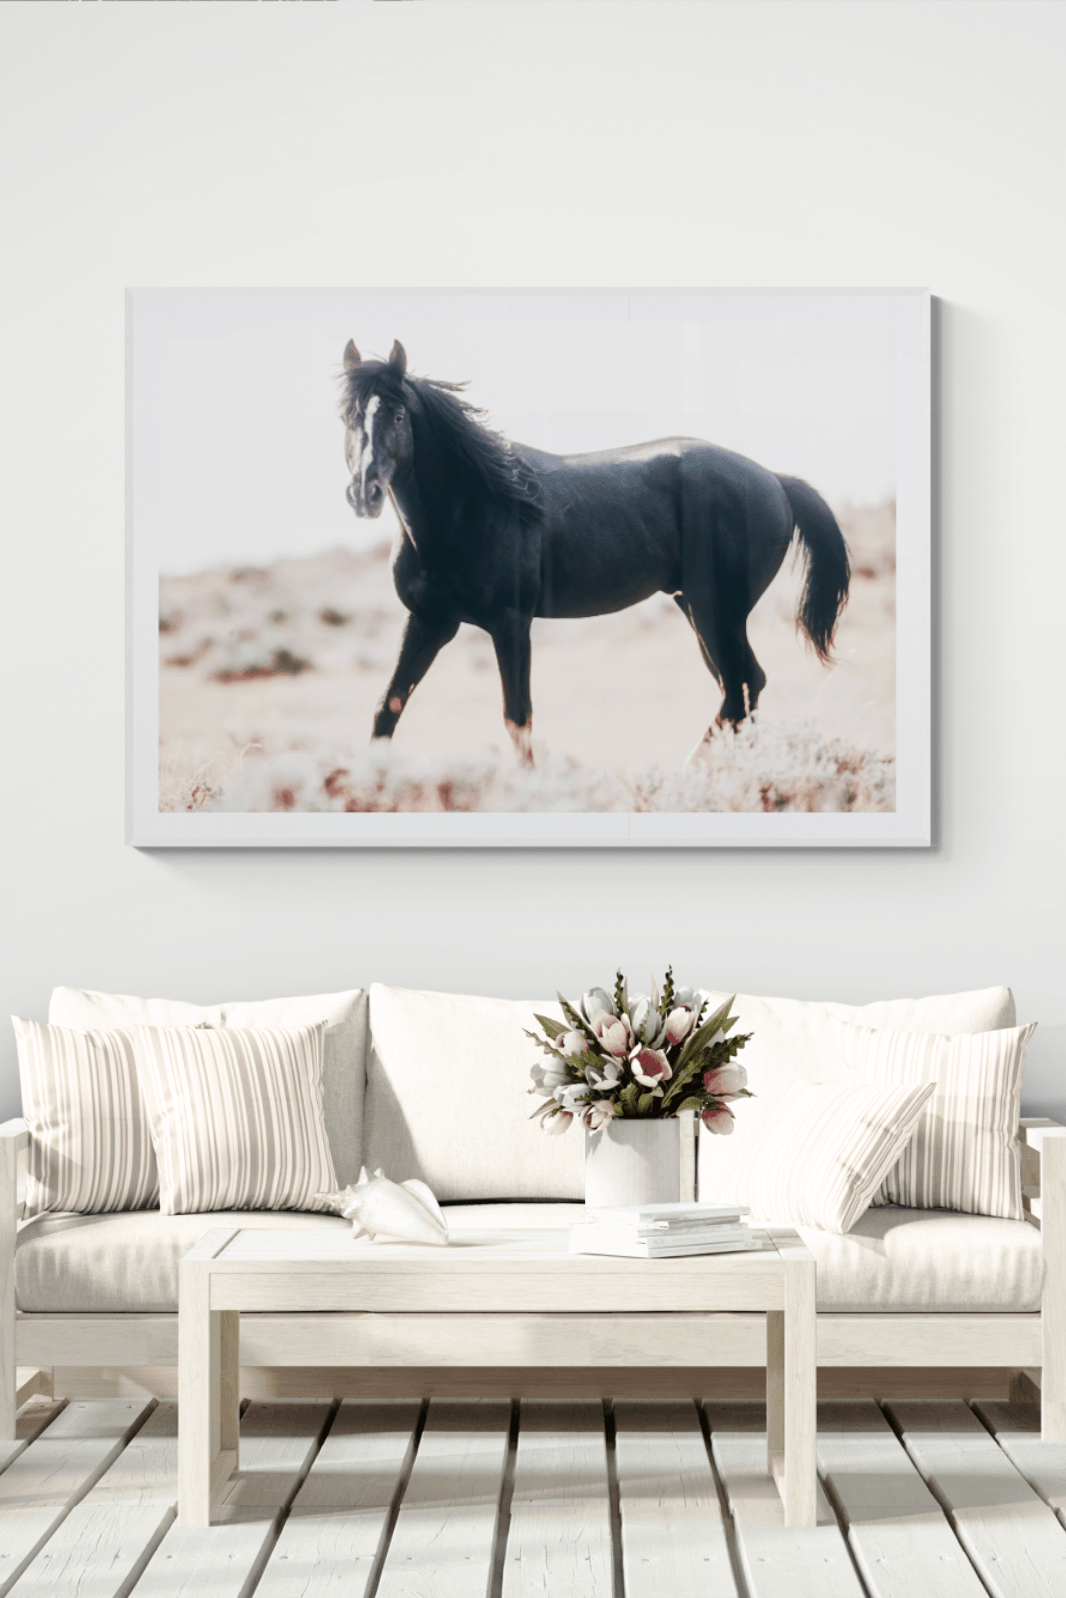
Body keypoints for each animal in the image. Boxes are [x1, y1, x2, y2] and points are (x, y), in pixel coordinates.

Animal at [339, 339, 850, 767]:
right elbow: (387, 708)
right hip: (698, 609)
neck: (470, 507)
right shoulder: (429, 622)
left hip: (716, 612)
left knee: (741, 688)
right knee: (740, 689)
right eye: (348, 418)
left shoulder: (510, 624)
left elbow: (517, 718)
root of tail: (775, 480)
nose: (364, 494)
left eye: (398, 416)